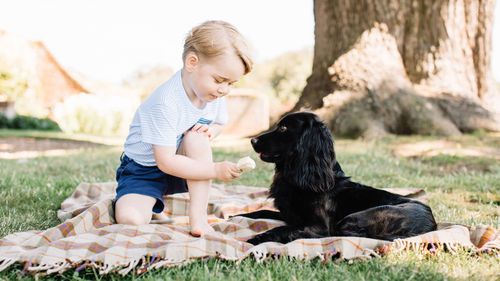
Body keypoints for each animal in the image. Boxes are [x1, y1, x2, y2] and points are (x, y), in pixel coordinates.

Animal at [236, 111, 436, 243]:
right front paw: (236, 216)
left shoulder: (318, 226)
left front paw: (253, 240)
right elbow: (261, 212)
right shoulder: (290, 215)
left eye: (284, 128)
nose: (252, 140)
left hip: (353, 218)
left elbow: (281, 229)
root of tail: (432, 225)